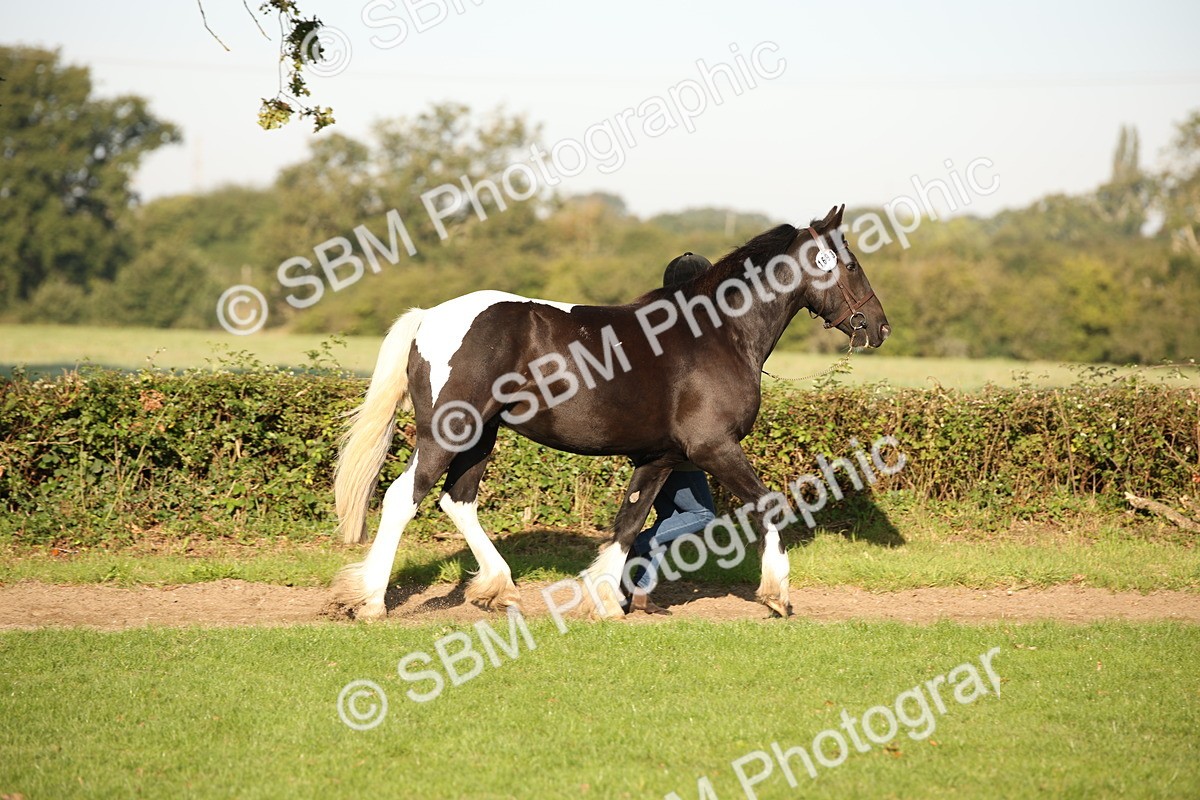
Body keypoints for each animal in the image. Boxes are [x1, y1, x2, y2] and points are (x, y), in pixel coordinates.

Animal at [332, 205, 889, 620]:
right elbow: (768, 504)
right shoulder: (714, 447)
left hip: (481, 436)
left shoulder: (658, 458)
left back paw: (498, 588)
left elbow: (629, 523)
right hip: (448, 433)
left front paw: (603, 597)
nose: (879, 326)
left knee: (458, 501)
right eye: (852, 263)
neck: (717, 334)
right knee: (403, 498)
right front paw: (777, 595)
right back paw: (371, 602)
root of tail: (430, 317)